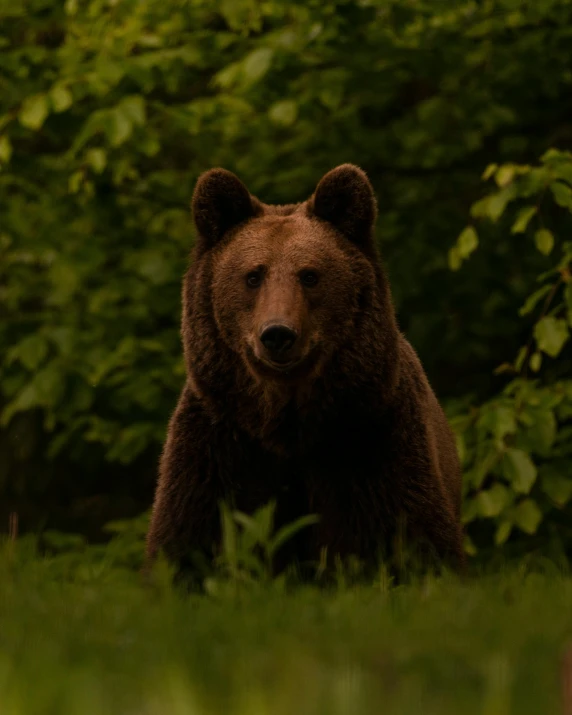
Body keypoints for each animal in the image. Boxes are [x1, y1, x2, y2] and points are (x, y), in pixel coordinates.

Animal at [146, 164, 464, 580]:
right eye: (253, 275)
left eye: (310, 275)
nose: (278, 334)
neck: (287, 425)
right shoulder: (220, 448)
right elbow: (186, 541)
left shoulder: (373, 442)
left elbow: (416, 540)